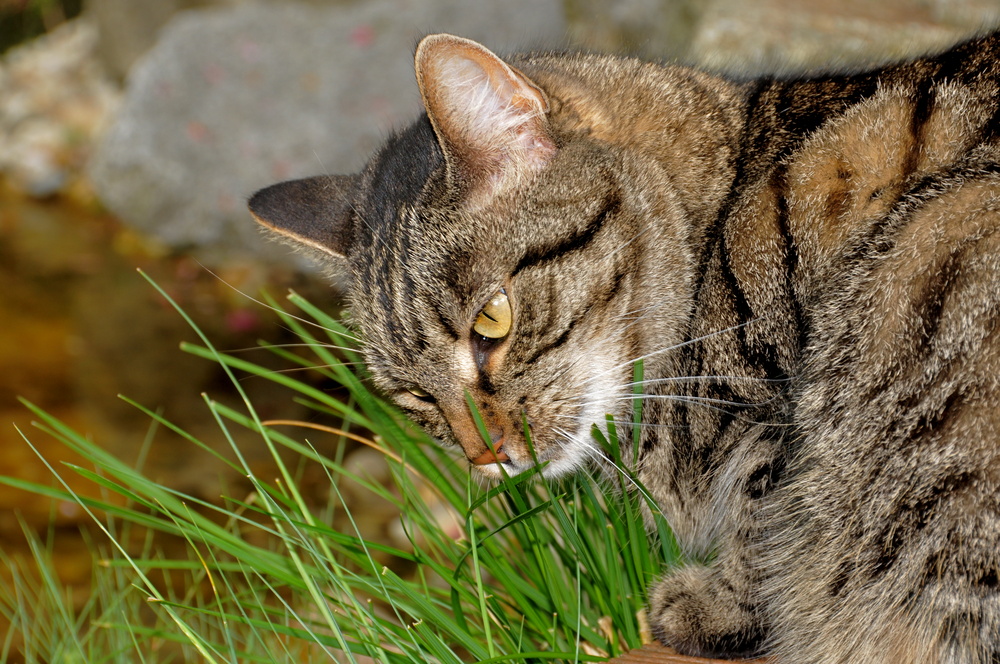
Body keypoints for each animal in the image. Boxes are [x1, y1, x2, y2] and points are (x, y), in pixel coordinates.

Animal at [248, 29, 1000, 664]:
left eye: (491, 322)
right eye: (411, 395)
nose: (485, 456)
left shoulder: (778, 412)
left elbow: (766, 513)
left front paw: (717, 608)